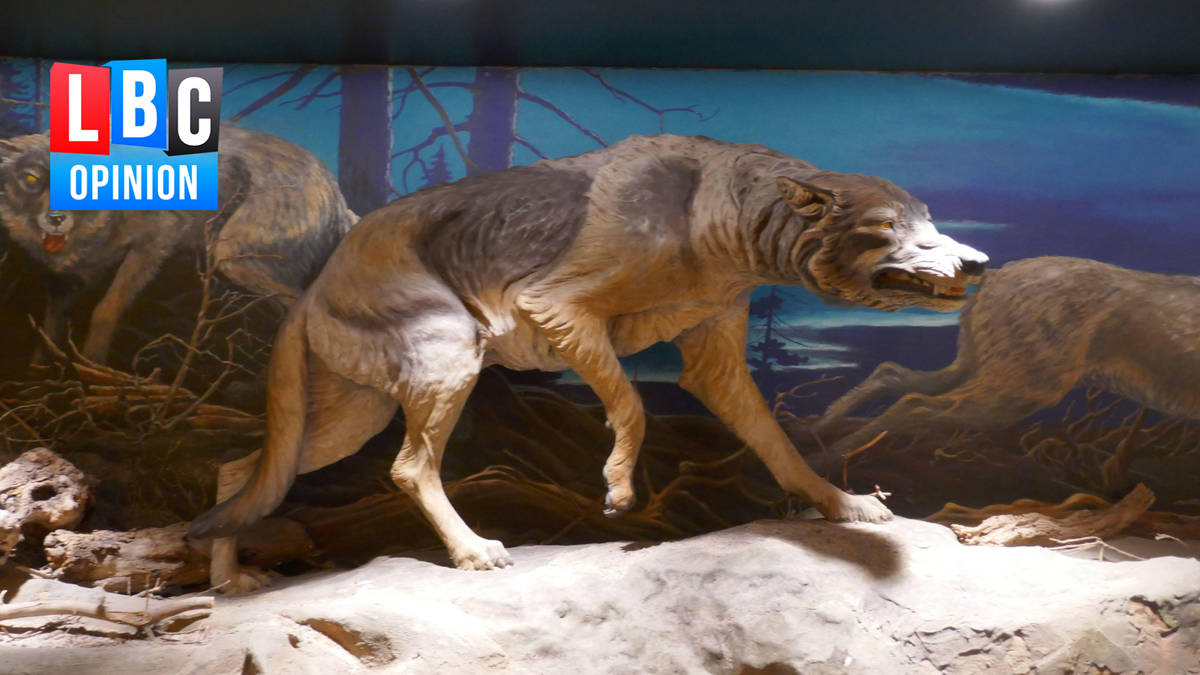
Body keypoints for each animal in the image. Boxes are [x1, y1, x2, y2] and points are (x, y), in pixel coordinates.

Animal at [0, 126, 357, 364]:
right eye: (32, 179)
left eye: (81, 179)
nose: (56, 218)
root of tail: (339, 198)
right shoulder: (65, 279)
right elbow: (50, 327)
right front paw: (40, 374)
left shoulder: (156, 242)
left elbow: (105, 310)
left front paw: (91, 371)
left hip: (234, 257)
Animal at [188, 134, 987, 592]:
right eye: (887, 225)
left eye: (930, 217)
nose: (978, 262)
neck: (721, 215)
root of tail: (311, 288)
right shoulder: (557, 308)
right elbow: (630, 405)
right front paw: (619, 489)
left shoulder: (715, 357)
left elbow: (778, 445)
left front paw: (843, 505)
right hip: (449, 364)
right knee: (410, 467)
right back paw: (474, 551)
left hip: (354, 413)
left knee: (241, 470)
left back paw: (227, 582)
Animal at [815, 256, 1200, 482]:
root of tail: (992, 280)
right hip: (1022, 383)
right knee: (916, 403)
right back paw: (831, 459)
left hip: (984, 364)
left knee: (893, 373)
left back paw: (822, 429)